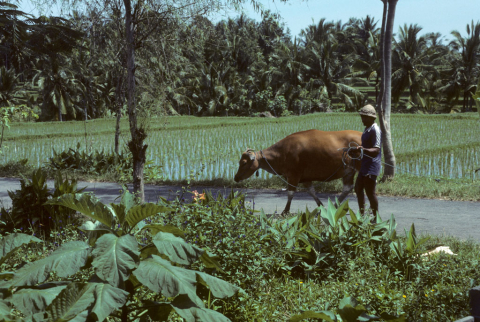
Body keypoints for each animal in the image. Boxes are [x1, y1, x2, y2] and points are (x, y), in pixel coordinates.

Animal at [232, 130, 360, 215]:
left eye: (244, 162)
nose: (236, 177)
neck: (282, 152)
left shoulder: (293, 176)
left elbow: (290, 193)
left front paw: (285, 211)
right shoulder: (306, 179)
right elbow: (312, 192)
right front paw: (321, 206)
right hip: (348, 171)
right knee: (347, 188)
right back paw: (334, 206)